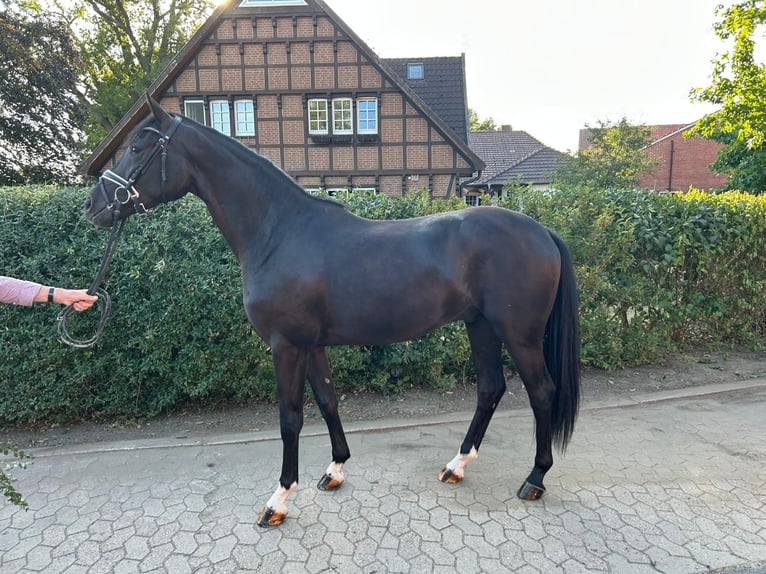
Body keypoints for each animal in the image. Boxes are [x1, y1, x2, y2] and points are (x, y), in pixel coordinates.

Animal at [84, 95, 580, 528]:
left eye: (138, 147)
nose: (93, 206)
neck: (279, 232)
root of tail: (542, 231)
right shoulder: (312, 345)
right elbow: (327, 401)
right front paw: (335, 470)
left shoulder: (286, 346)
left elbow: (289, 419)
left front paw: (279, 499)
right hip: (480, 326)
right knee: (490, 388)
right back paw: (456, 465)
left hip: (519, 334)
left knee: (541, 392)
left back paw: (534, 479)